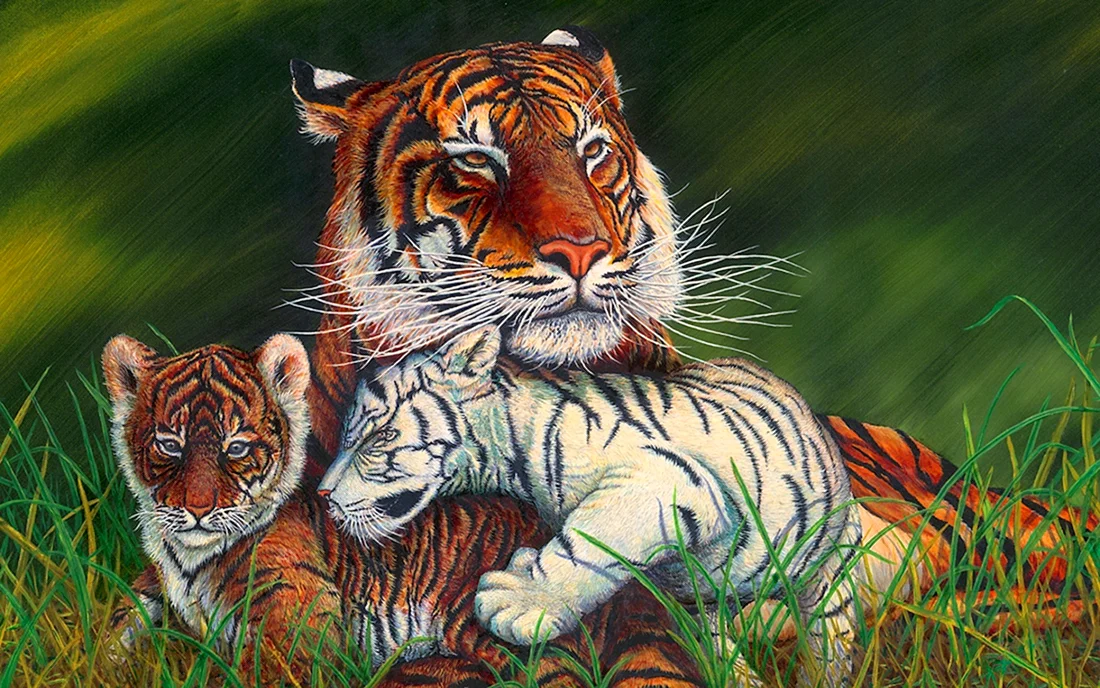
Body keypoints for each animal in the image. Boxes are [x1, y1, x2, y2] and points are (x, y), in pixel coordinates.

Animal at [102, 335, 703, 687]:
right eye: (169, 446)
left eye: (237, 447)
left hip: (487, 625)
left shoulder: (299, 618)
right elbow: (123, 619)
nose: (197, 511)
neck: (185, 554)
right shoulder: (153, 584)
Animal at [319, 325, 864, 688]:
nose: (322, 494)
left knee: (831, 637)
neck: (510, 451)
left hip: (834, 568)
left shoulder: (668, 479)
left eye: (380, 437)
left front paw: (518, 601)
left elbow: (589, 541)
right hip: (709, 600)